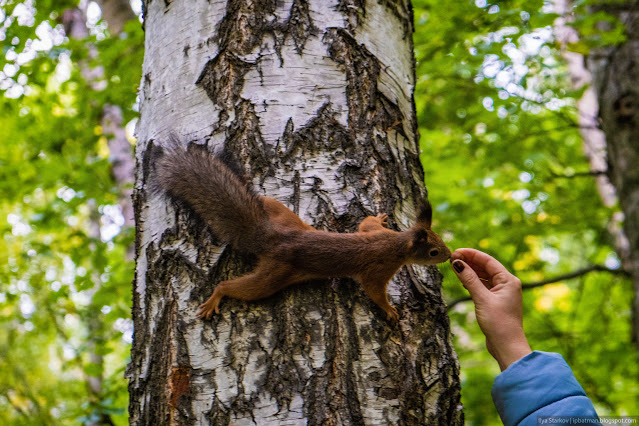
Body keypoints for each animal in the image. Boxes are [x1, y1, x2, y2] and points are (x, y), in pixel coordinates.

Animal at [158, 145, 452, 322]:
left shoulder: (375, 233)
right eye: (434, 251)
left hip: (283, 216)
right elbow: (373, 290)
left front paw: (379, 216)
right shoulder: (379, 268)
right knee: (236, 286)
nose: (449, 256)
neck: (398, 243)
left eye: (439, 239)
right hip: (273, 274)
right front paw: (390, 309)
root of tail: (271, 238)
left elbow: (366, 224)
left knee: (264, 202)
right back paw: (216, 297)